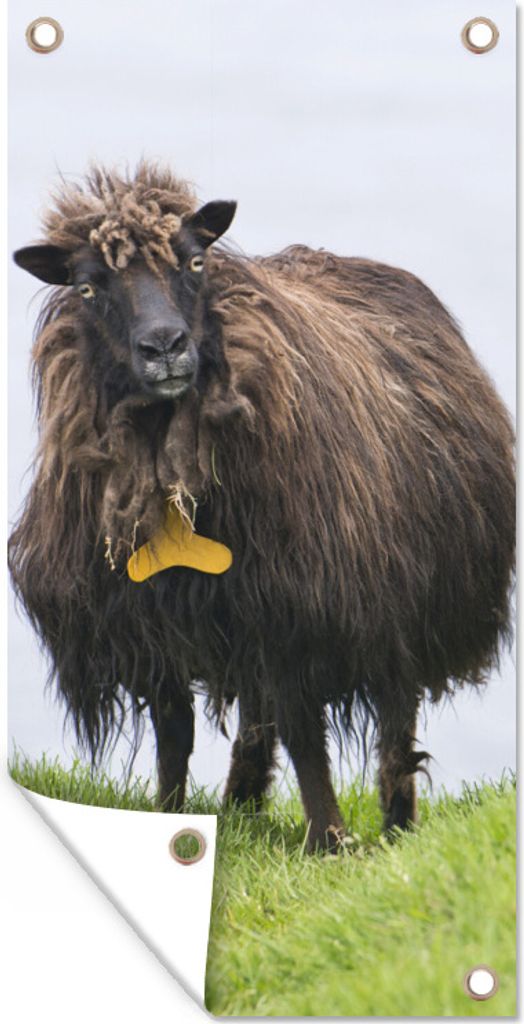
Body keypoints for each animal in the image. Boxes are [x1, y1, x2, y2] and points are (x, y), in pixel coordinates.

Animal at [10, 162, 515, 850]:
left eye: (195, 262)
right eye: (87, 287)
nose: (165, 346)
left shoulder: (300, 613)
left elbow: (306, 737)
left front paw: (329, 842)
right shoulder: (154, 623)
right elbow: (175, 738)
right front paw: (169, 821)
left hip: (402, 601)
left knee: (394, 723)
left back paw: (394, 827)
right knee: (257, 720)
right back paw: (242, 807)